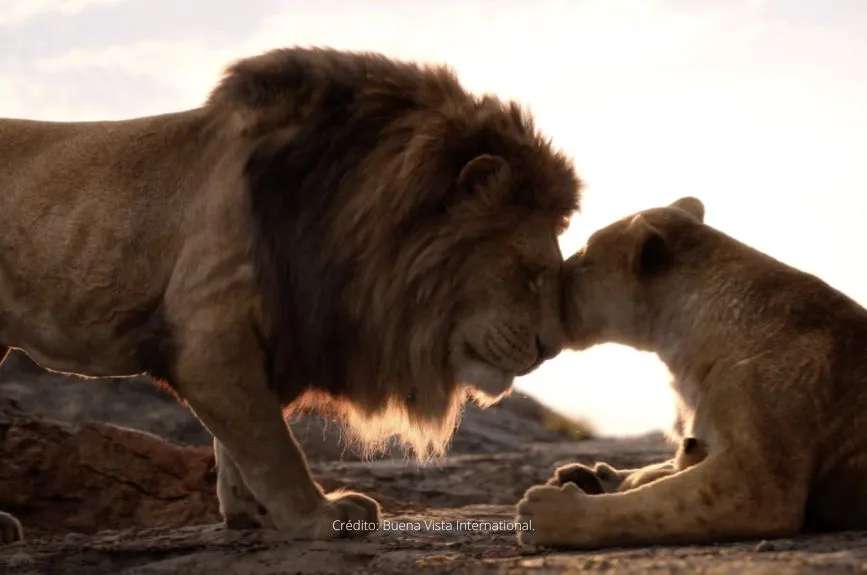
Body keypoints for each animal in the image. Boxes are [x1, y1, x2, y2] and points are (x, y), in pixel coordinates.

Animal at [0, 47, 581, 544]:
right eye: (531, 272)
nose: (552, 347)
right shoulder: (208, 335)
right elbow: (274, 447)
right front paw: (319, 516)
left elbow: (241, 445)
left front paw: (251, 514)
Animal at [516, 196, 867, 549]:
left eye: (585, 255)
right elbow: (659, 475)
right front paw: (591, 476)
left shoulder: (758, 485)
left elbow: (649, 505)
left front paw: (546, 511)